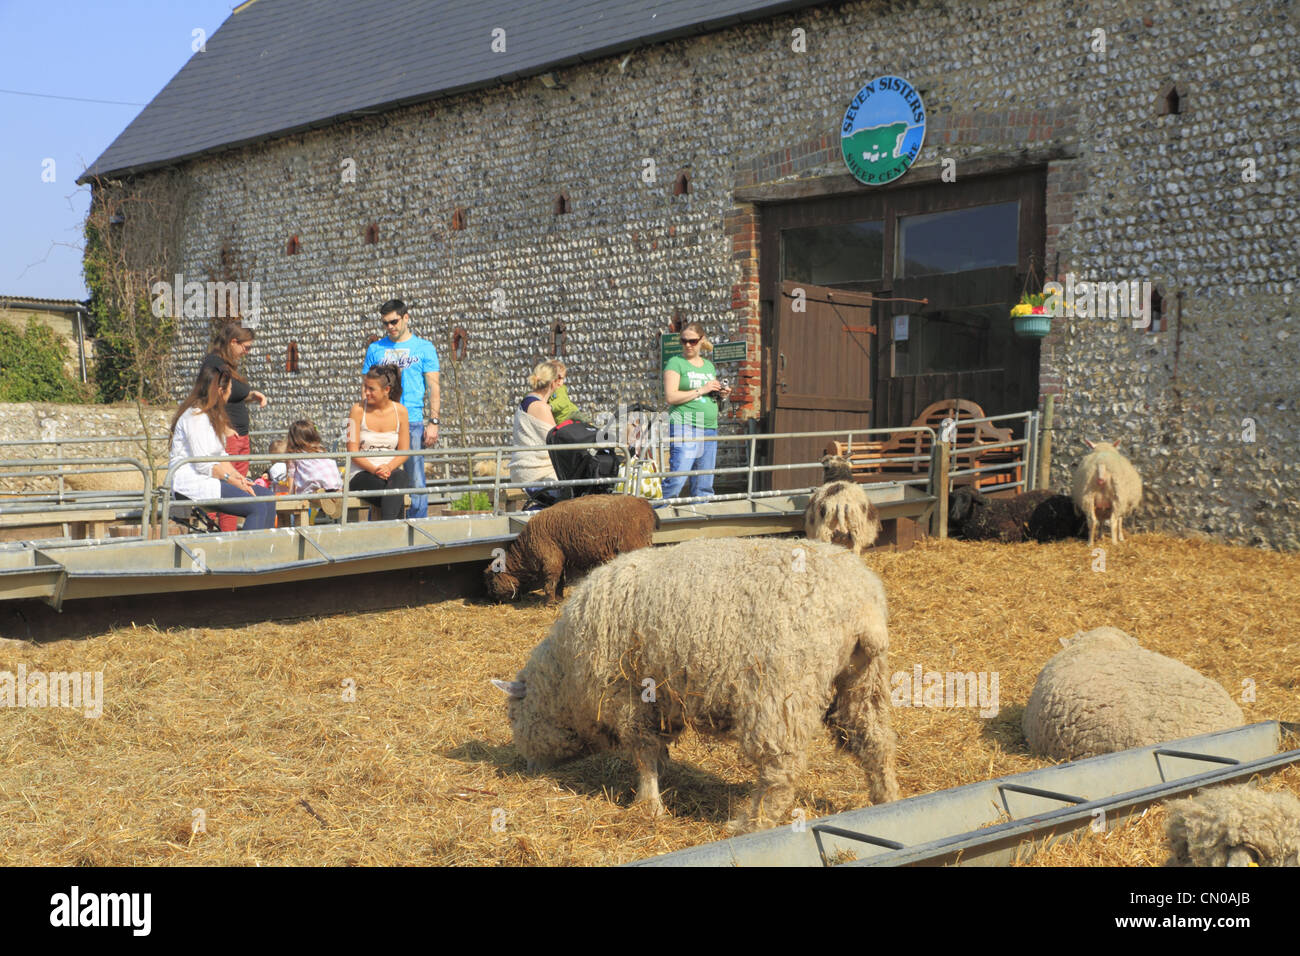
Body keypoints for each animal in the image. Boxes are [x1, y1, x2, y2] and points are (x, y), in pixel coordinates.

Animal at [483, 494, 657, 604]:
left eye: (492, 581)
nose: (493, 601)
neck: (525, 551)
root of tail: (645, 505)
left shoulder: (551, 559)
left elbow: (550, 582)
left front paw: (550, 602)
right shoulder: (562, 558)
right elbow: (560, 580)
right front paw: (559, 598)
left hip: (635, 544)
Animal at [491, 536, 900, 832]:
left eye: (513, 718)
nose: (528, 769)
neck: (565, 676)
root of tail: (863, 606)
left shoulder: (627, 696)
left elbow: (643, 754)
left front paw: (649, 805)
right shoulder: (660, 700)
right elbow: (657, 750)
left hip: (778, 693)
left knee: (781, 772)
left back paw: (749, 824)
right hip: (863, 679)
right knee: (875, 742)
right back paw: (887, 799)